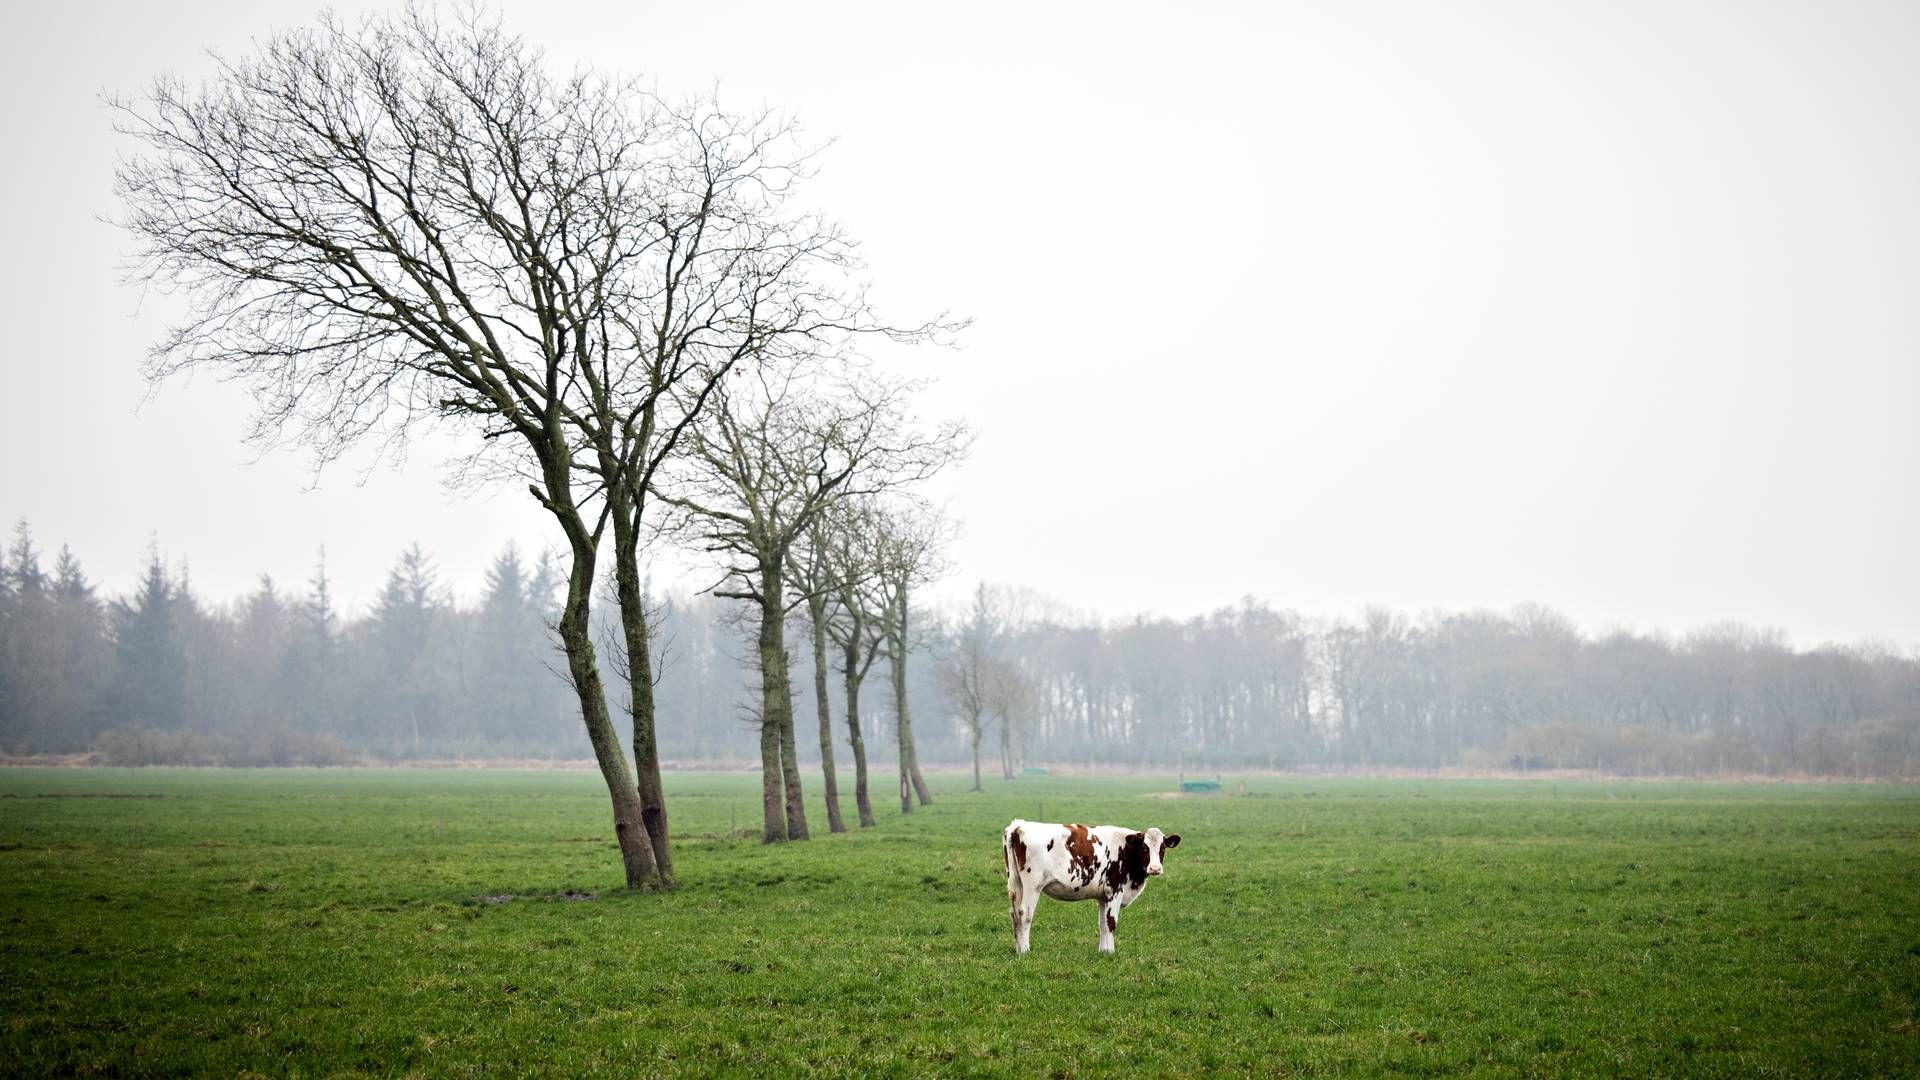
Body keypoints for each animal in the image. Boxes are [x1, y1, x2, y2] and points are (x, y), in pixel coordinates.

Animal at [998, 814, 1175, 949]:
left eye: (1162, 849)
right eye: (1145, 848)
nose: (1155, 868)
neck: (1126, 849)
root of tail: (1019, 825)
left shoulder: (1103, 896)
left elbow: (1103, 924)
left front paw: (1104, 952)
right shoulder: (1115, 890)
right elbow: (1111, 923)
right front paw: (1111, 952)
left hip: (1017, 884)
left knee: (1014, 913)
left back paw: (1018, 949)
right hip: (1032, 886)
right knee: (1025, 914)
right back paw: (1025, 950)